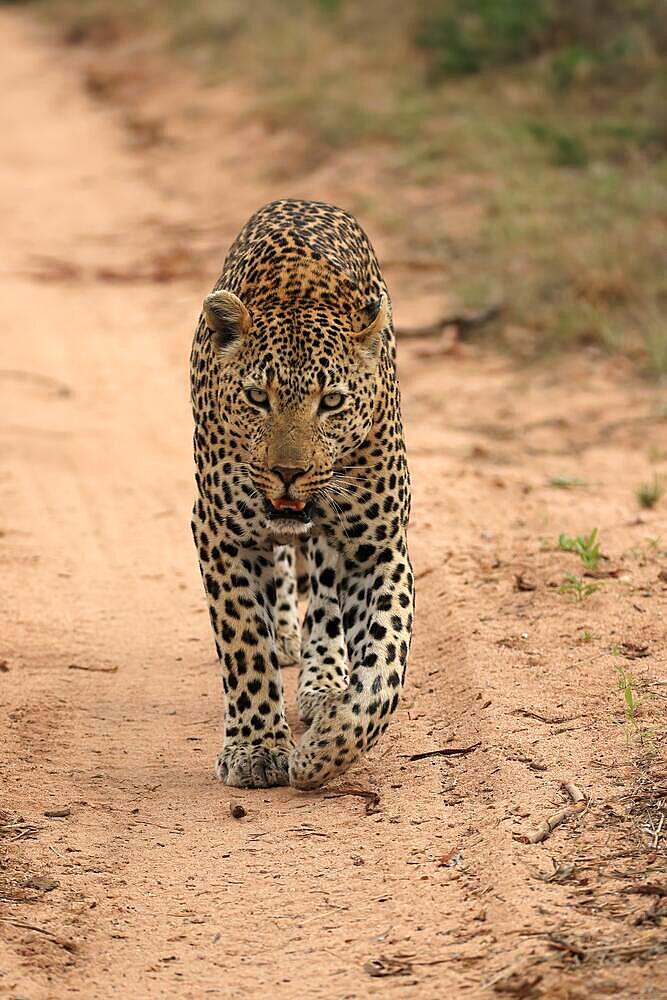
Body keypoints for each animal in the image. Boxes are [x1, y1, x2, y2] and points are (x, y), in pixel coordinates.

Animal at [190, 197, 414, 788]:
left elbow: (385, 668)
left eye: (331, 401)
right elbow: (245, 643)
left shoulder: (378, 548)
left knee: (325, 597)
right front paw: (257, 747)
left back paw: (322, 678)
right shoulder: (219, 532)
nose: (288, 472)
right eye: (256, 397)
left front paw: (324, 749)